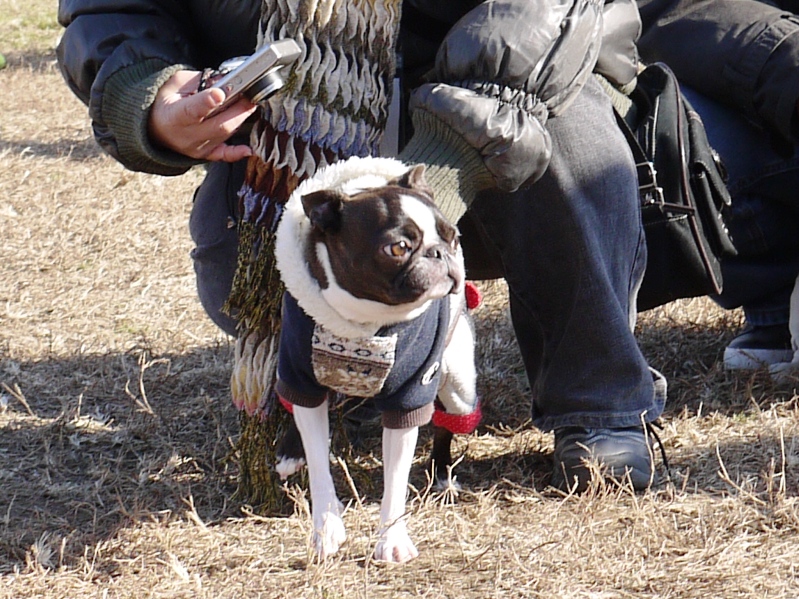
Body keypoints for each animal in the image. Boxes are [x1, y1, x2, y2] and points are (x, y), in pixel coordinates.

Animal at [274, 158, 482, 564]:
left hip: (459, 379)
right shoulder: (299, 373)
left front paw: (392, 540)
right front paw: (326, 528)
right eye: (398, 247)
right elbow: (318, 461)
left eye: (453, 237)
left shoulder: (409, 398)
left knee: (449, 420)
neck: (365, 323)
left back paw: (442, 473)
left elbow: (396, 479)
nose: (441, 253)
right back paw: (291, 453)